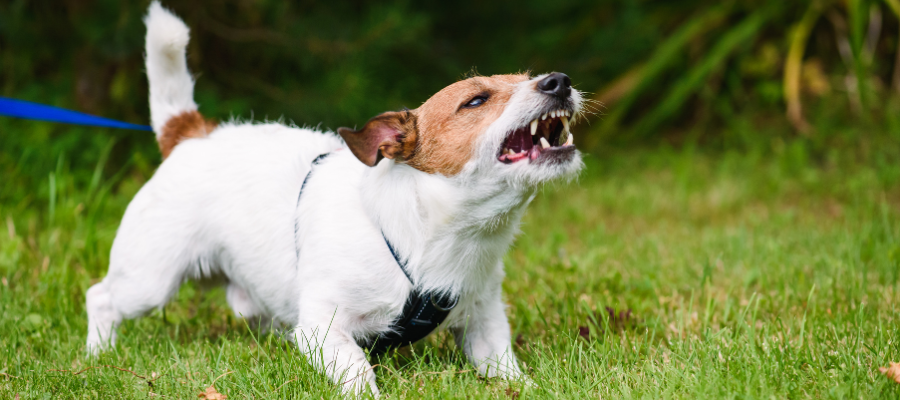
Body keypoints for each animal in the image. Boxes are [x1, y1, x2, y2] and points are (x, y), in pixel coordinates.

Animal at [86, 2, 584, 396]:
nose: (559, 81)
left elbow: (503, 366)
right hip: (149, 279)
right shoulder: (322, 328)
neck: (432, 234)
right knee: (101, 297)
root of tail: (191, 133)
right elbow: (358, 370)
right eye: (476, 101)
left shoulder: (484, 321)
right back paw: (97, 354)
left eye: (529, 77)